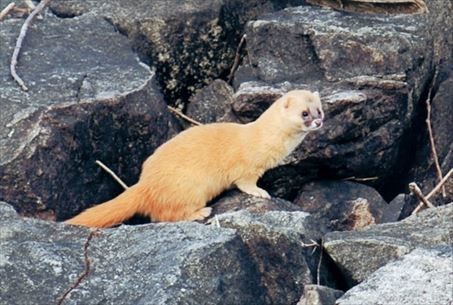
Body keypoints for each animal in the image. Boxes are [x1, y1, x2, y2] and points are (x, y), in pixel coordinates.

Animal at [65, 89, 324, 227]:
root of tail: (145, 184)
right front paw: (261, 192)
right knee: (164, 216)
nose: (319, 122)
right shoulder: (248, 167)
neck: (263, 137)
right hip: (189, 187)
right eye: (304, 113)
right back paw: (201, 212)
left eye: (319, 109)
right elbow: (245, 183)